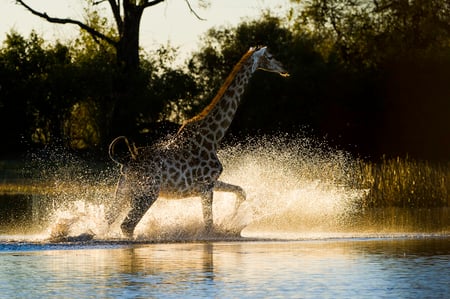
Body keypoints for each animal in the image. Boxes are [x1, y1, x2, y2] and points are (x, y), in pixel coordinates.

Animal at [108, 46, 288, 239]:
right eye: (270, 56)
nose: (284, 68)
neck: (213, 137)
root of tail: (126, 161)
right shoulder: (206, 185)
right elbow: (208, 225)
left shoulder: (209, 184)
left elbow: (241, 191)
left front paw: (232, 219)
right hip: (148, 192)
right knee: (127, 225)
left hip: (124, 189)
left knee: (110, 218)